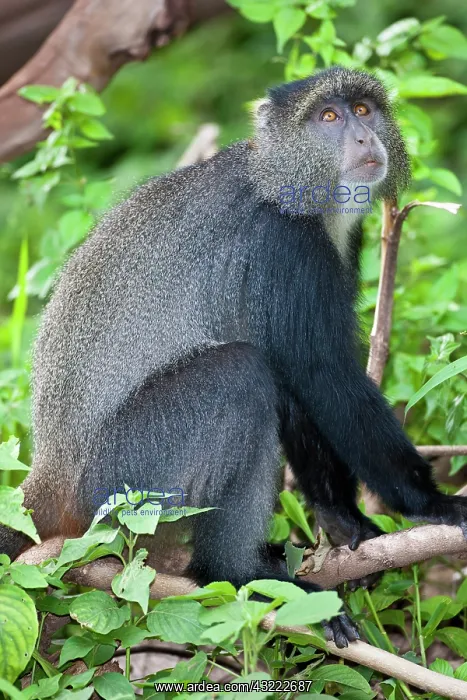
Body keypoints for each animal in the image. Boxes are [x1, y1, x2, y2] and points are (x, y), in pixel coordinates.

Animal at [2, 67, 467, 648]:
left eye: (363, 109)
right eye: (328, 117)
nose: (363, 138)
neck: (282, 181)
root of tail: (51, 473)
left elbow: (299, 392)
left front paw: (345, 521)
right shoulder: (286, 247)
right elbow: (323, 376)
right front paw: (431, 504)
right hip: (120, 479)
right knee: (241, 375)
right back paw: (237, 572)